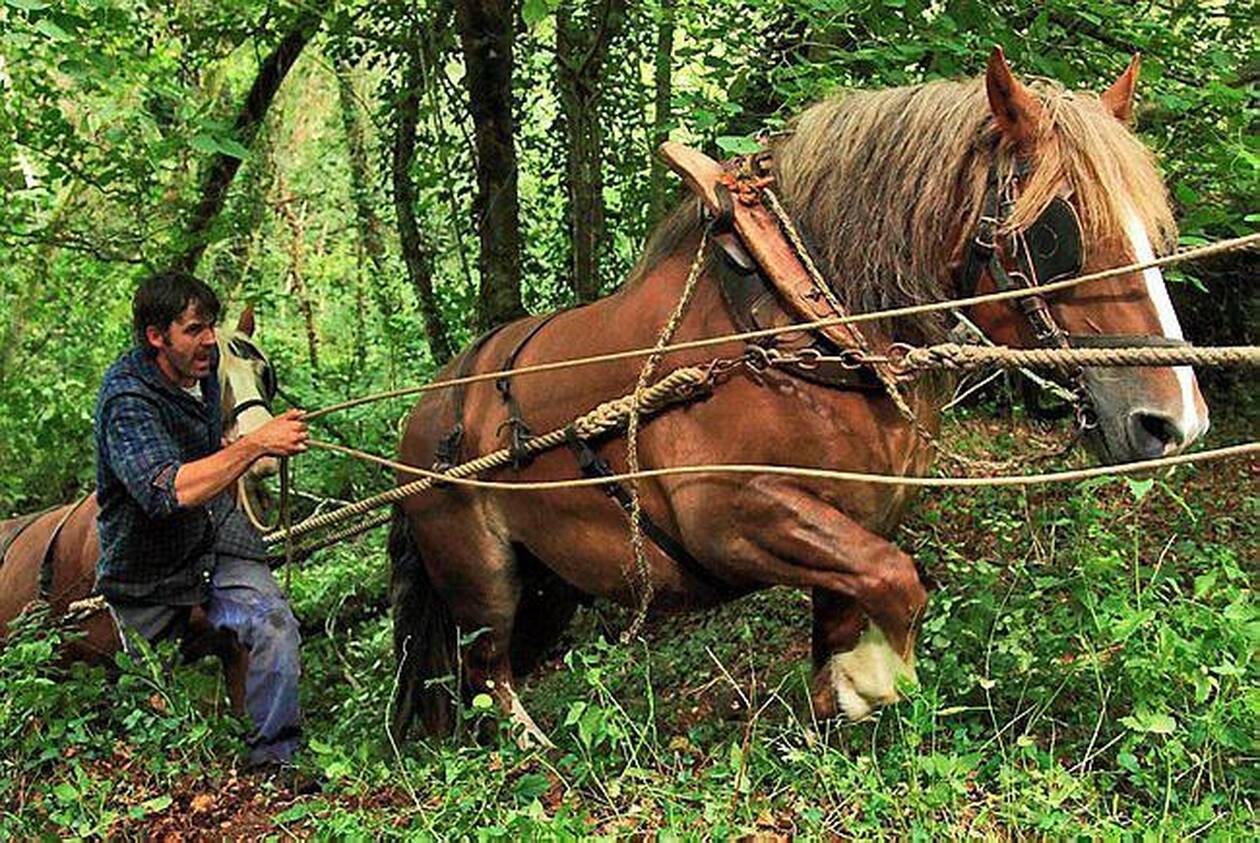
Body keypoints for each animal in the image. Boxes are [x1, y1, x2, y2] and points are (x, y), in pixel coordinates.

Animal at [387, 49, 1210, 745]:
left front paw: (832, 704)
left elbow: (858, 596)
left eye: (1155, 231)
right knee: (484, 668)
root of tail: (424, 412)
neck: (795, 323)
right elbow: (897, 580)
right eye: (1057, 232)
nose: (1174, 421)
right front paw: (874, 679)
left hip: (550, 586)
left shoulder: (855, 514)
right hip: (482, 579)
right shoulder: (730, 518)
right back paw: (532, 749)